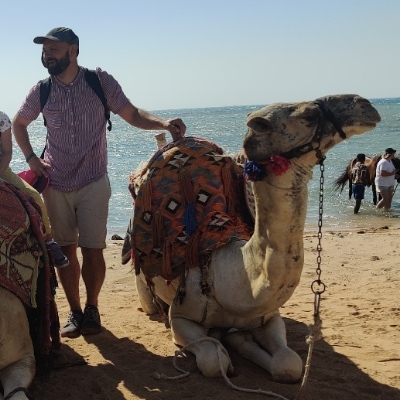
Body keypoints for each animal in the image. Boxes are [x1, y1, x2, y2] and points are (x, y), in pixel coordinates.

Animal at [129, 94, 380, 383]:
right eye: (307, 115)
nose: (365, 105)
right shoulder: (181, 317)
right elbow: (213, 359)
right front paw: (224, 347)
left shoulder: (269, 316)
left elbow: (288, 364)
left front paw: (239, 340)